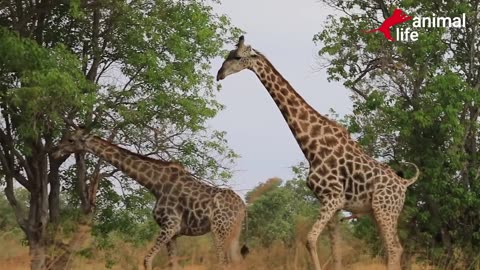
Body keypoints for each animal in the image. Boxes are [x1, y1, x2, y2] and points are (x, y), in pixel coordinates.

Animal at [54, 129, 246, 270]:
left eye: (71, 140)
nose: (55, 152)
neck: (155, 185)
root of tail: (243, 207)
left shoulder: (170, 225)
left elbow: (147, 260)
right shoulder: (174, 233)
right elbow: (172, 265)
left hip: (219, 229)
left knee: (223, 262)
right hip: (233, 232)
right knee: (236, 261)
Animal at [216, 35, 418, 270]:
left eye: (237, 57)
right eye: (228, 55)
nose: (219, 74)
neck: (311, 147)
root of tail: (404, 183)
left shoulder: (333, 198)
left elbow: (310, 240)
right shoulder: (333, 204)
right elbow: (335, 252)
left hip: (385, 209)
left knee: (394, 248)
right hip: (377, 211)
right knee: (391, 248)